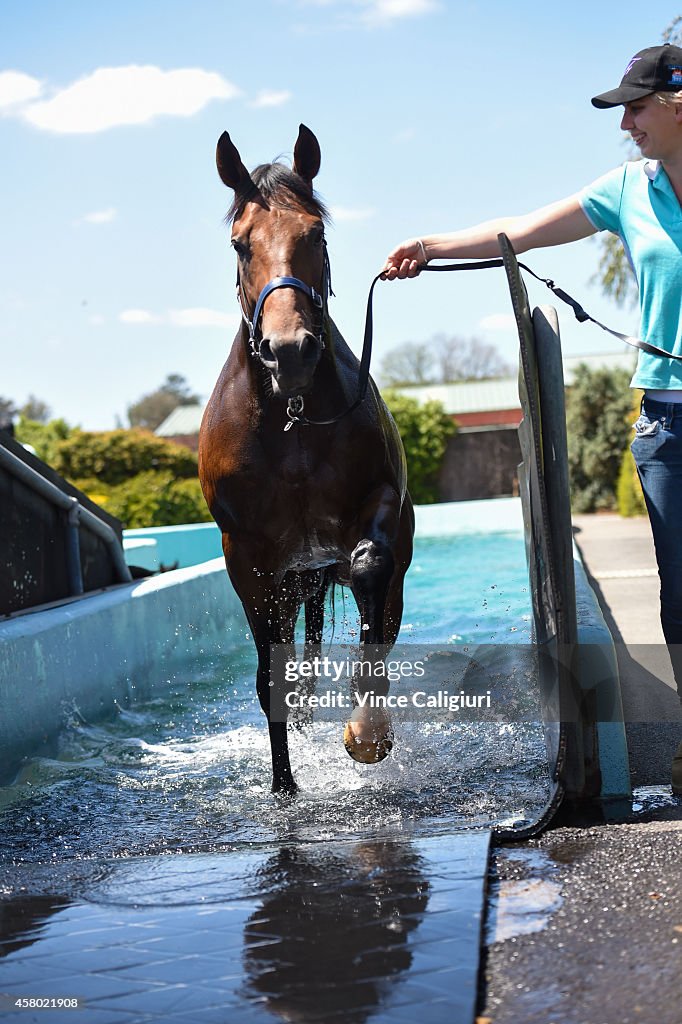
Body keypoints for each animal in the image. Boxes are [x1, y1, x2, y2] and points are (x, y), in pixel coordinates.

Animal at [193, 123, 411, 794]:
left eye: (315, 233)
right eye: (240, 244)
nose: (288, 350)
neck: (292, 422)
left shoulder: (380, 504)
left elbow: (369, 571)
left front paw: (367, 731)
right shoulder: (247, 559)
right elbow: (270, 677)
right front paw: (284, 789)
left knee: (376, 617)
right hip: (290, 582)